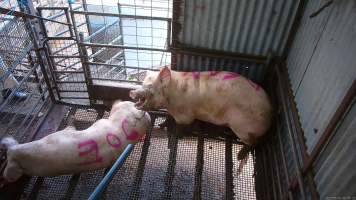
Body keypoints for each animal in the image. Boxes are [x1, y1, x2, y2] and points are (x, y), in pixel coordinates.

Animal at [131, 67, 272, 148]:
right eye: (142, 83)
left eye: (149, 86)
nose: (132, 92)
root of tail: (271, 114)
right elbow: (168, 117)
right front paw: (161, 125)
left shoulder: (185, 115)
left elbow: (181, 125)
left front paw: (175, 134)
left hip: (243, 127)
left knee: (252, 144)